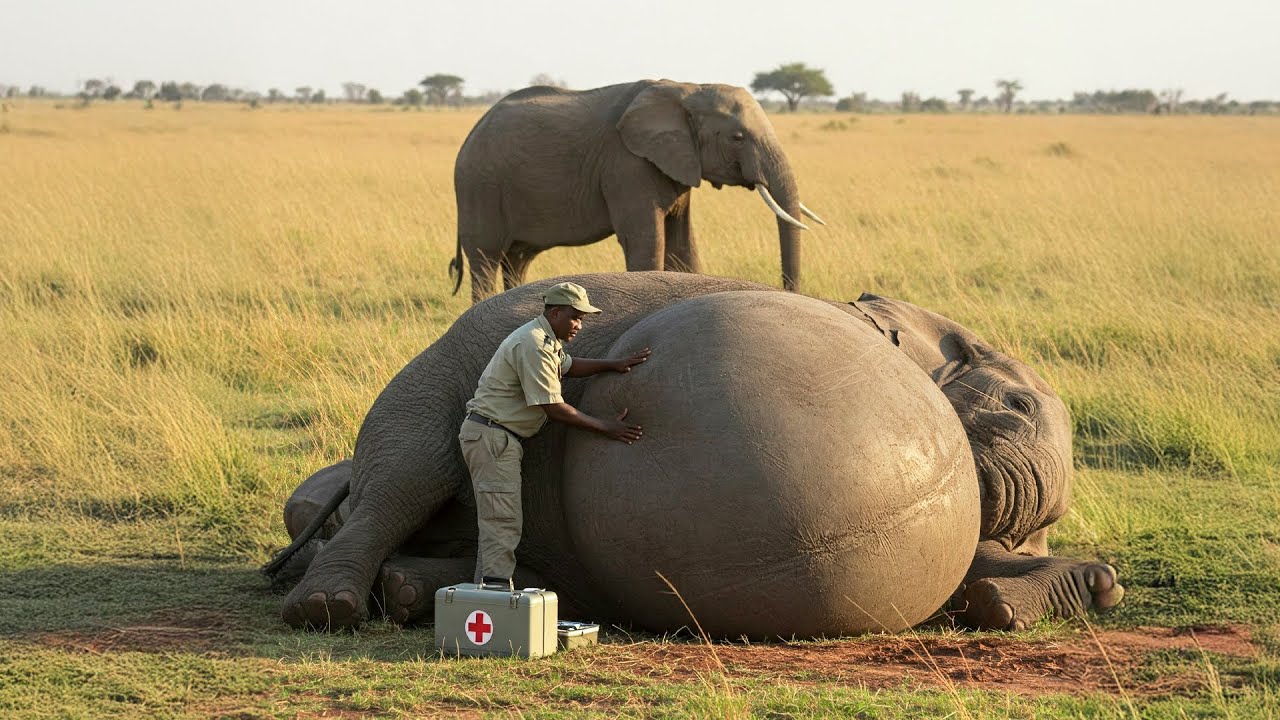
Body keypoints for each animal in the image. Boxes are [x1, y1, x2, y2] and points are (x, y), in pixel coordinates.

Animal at [267, 273, 1123, 637]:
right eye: (1016, 406)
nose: (1027, 519)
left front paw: (1063, 591)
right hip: (438, 376)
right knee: (403, 478)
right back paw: (329, 608)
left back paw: (409, 592)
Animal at [448, 80, 823, 304]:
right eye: (738, 137)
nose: (791, 294)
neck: (687, 89)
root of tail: (469, 135)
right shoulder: (626, 165)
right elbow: (646, 240)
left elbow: (682, 247)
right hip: (480, 186)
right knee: (486, 256)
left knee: (517, 258)